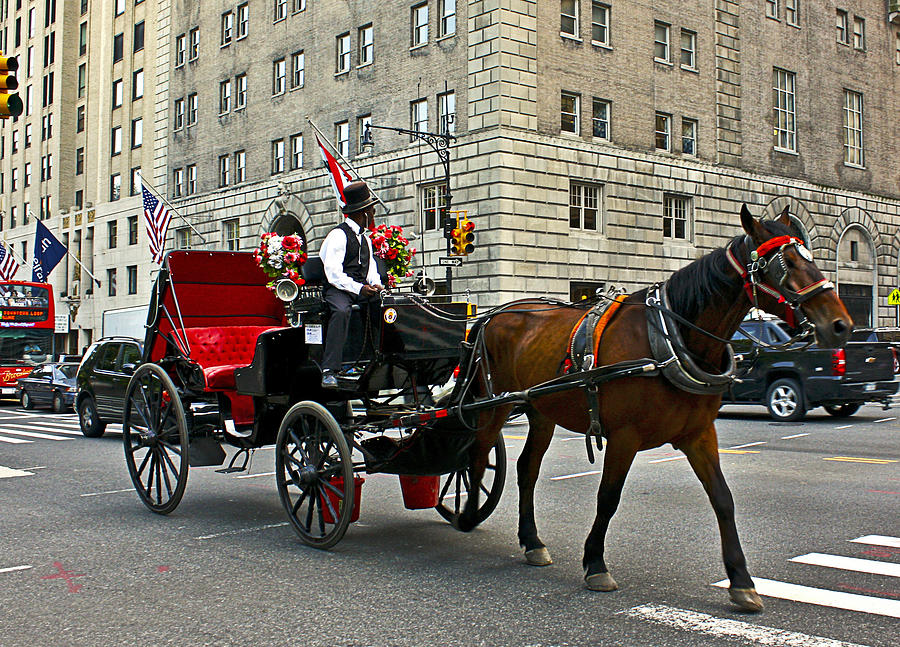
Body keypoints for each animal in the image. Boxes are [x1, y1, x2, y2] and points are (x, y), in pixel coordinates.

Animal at [458, 206, 852, 612]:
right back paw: (468, 514)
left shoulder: (698, 434)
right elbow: (608, 497)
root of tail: (493, 315)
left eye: (810, 257)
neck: (670, 340)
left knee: (527, 469)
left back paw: (532, 541)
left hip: (540, 410)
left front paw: (741, 580)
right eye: (783, 263)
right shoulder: (624, 436)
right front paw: (595, 563)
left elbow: (723, 499)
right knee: (477, 456)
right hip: (494, 405)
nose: (841, 325)